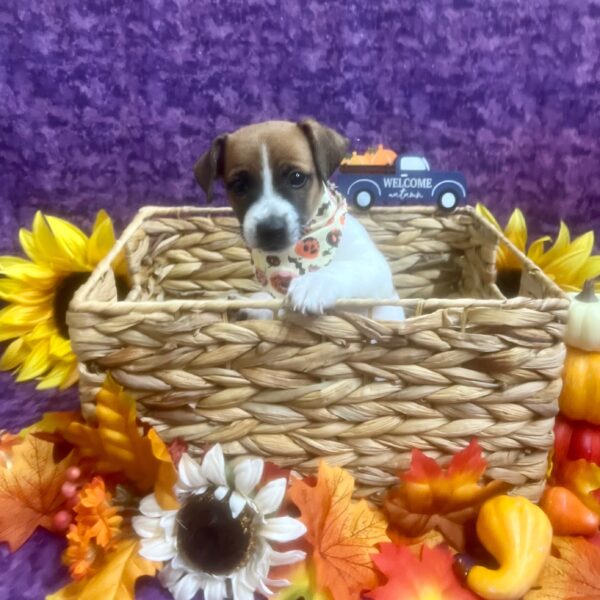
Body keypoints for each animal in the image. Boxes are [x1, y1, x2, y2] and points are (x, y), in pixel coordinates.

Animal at [195, 119, 406, 322]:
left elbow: (344, 268)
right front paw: (252, 304)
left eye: (296, 178)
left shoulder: (374, 267)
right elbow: (271, 304)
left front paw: (314, 283)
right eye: (239, 186)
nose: (270, 229)